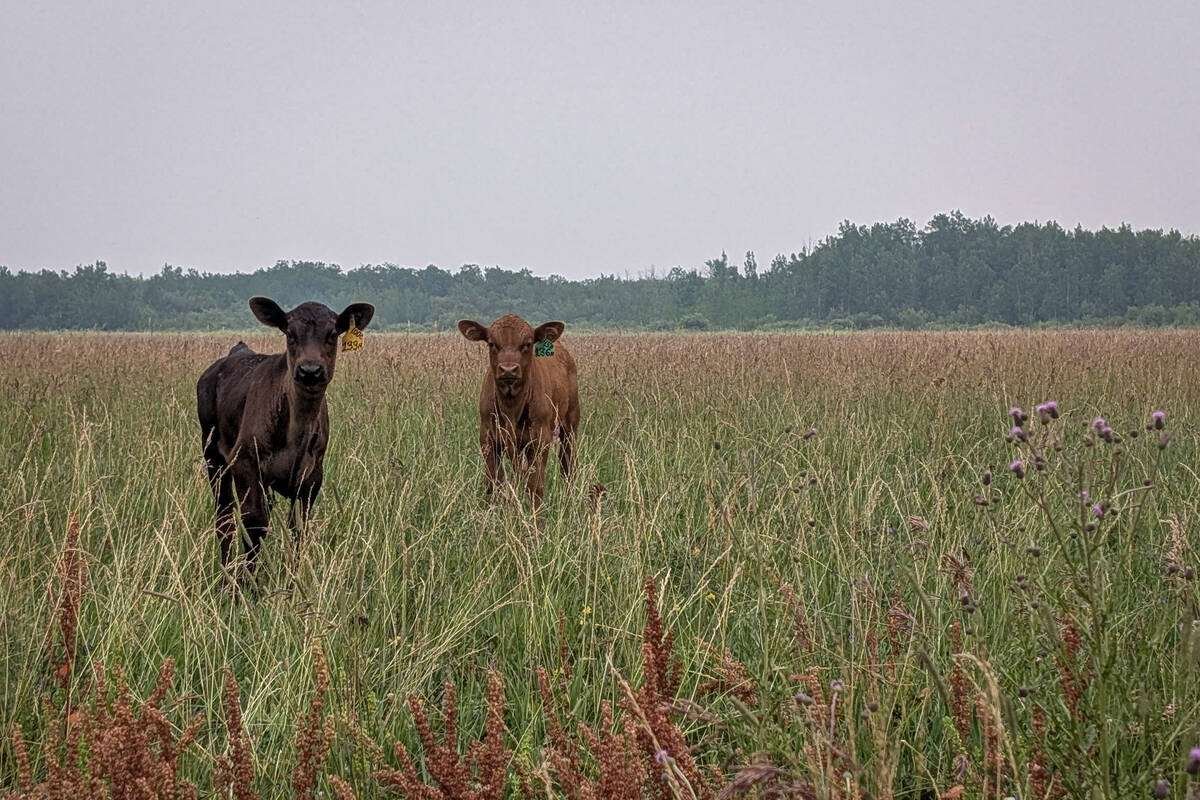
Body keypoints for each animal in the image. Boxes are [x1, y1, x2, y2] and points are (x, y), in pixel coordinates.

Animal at [196, 296, 374, 578]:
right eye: (290, 333)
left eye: (332, 334)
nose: (310, 370)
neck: (295, 434)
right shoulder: (244, 462)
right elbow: (254, 524)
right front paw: (247, 583)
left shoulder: (312, 477)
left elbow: (298, 528)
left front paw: (292, 582)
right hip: (213, 455)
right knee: (224, 517)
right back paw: (226, 577)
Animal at [457, 314, 580, 507]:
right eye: (492, 343)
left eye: (527, 344)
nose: (508, 369)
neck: (511, 408)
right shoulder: (487, 438)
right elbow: (493, 483)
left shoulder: (540, 439)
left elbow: (535, 487)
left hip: (571, 424)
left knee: (567, 464)